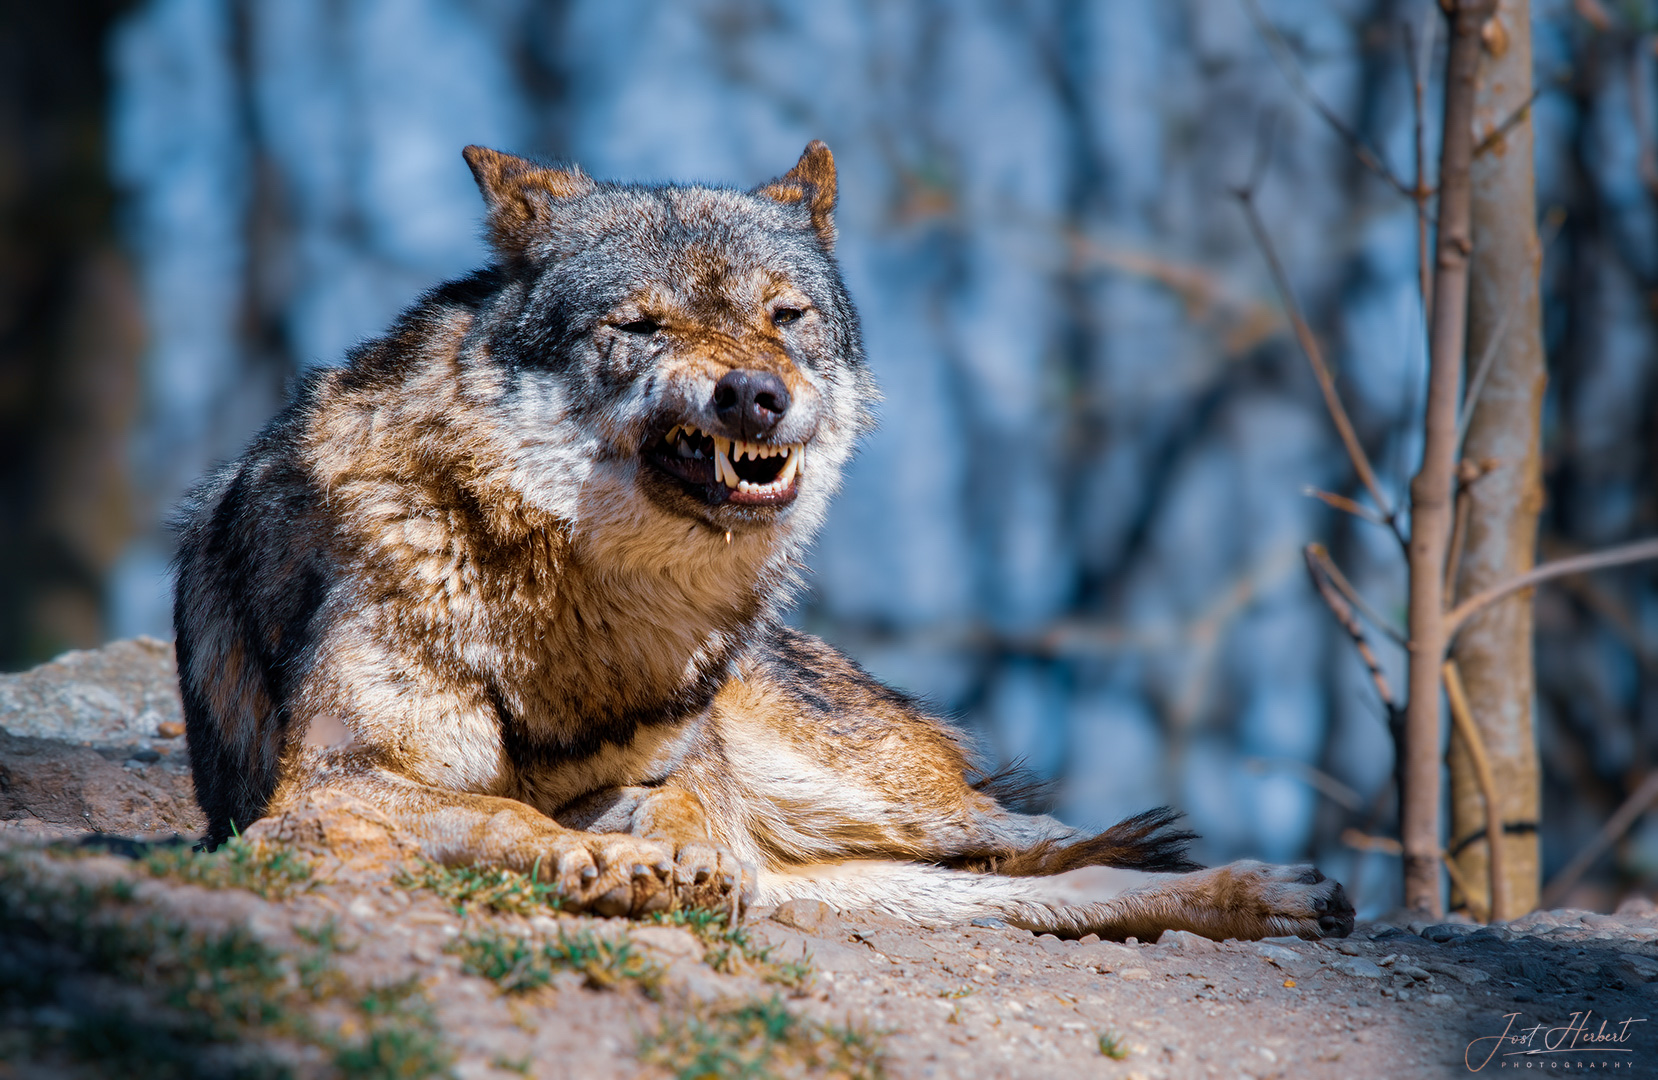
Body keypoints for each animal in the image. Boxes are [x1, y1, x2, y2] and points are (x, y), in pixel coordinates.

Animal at [174, 139, 1352, 942]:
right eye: (640, 326)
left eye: (785, 316)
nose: (753, 394)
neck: (585, 597)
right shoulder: (318, 797)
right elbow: (503, 815)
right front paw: (605, 859)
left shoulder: (693, 777)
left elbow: (674, 798)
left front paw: (662, 842)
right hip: (851, 872)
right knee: (1043, 892)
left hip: (885, 808)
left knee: (1040, 848)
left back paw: (1277, 892)